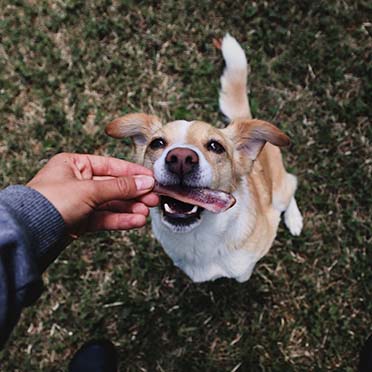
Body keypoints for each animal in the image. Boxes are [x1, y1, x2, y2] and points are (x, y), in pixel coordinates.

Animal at [104, 34, 302, 282]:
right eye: (157, 143)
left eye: (216, 146)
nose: (180, 158)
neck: (198, 239)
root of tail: (241, 119)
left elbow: (243, 274)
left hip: (280, 192)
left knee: (291, 185)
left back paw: (294, 220)